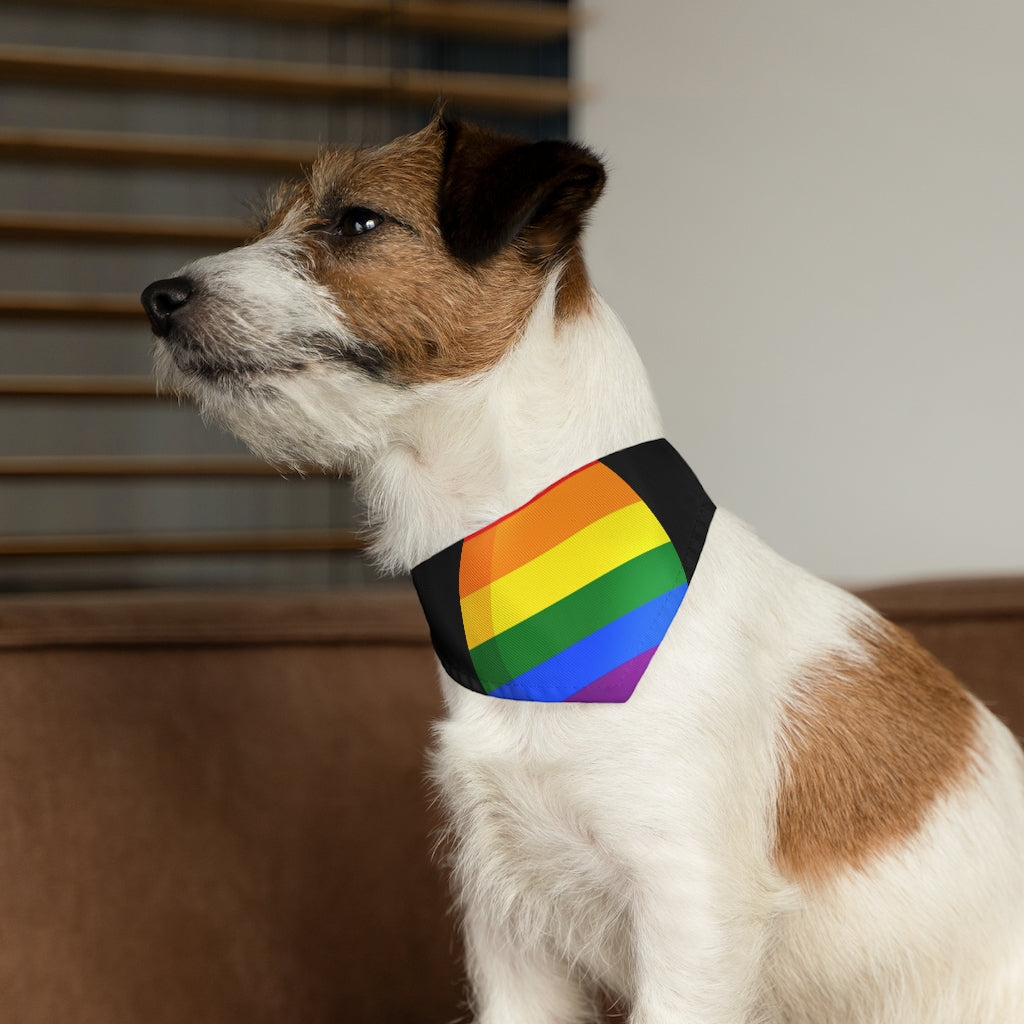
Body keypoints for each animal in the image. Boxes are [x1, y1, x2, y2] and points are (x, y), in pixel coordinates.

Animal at [142, 119, 1024, 1024]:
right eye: (271, 223)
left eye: (357, 221)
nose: (157, 298)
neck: (517, 570)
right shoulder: (509, 927)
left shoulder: (690, 916)